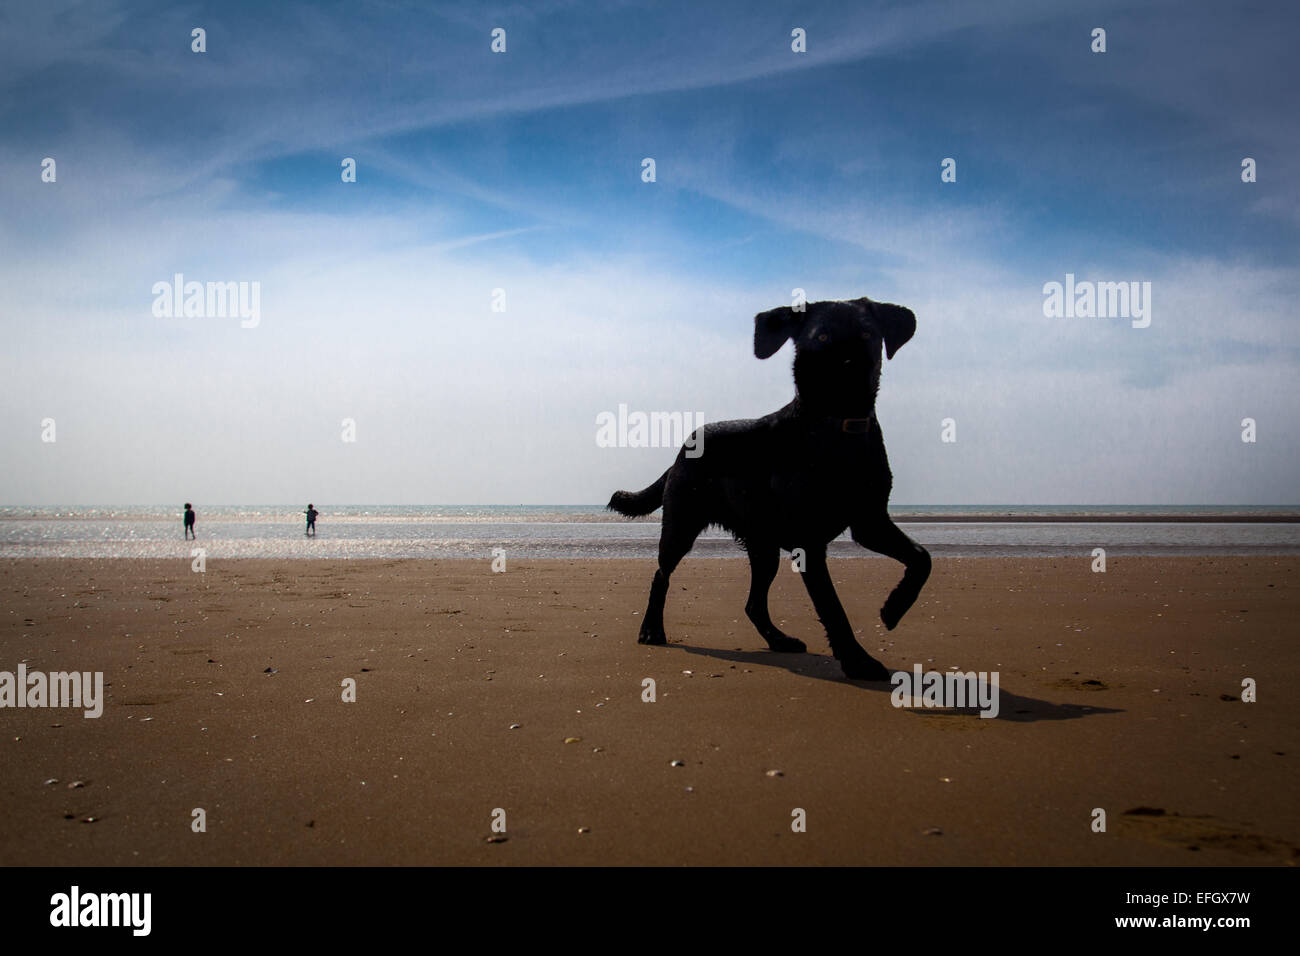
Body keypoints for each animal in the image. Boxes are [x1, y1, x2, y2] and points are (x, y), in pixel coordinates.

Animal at [603, 297, 930, 681]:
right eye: (820, 337)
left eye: (867, 333)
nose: (848, 370)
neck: (834, 432)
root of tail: (683, 450)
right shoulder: (811, 541)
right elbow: (833, 608)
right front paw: (858, 661)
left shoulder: (870, 522)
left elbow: (922, 558)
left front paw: (893, 609)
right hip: (681, 527)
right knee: (661, 575)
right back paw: (652, 630)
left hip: (764, 546)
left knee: (754, 604)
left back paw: (779, 639)